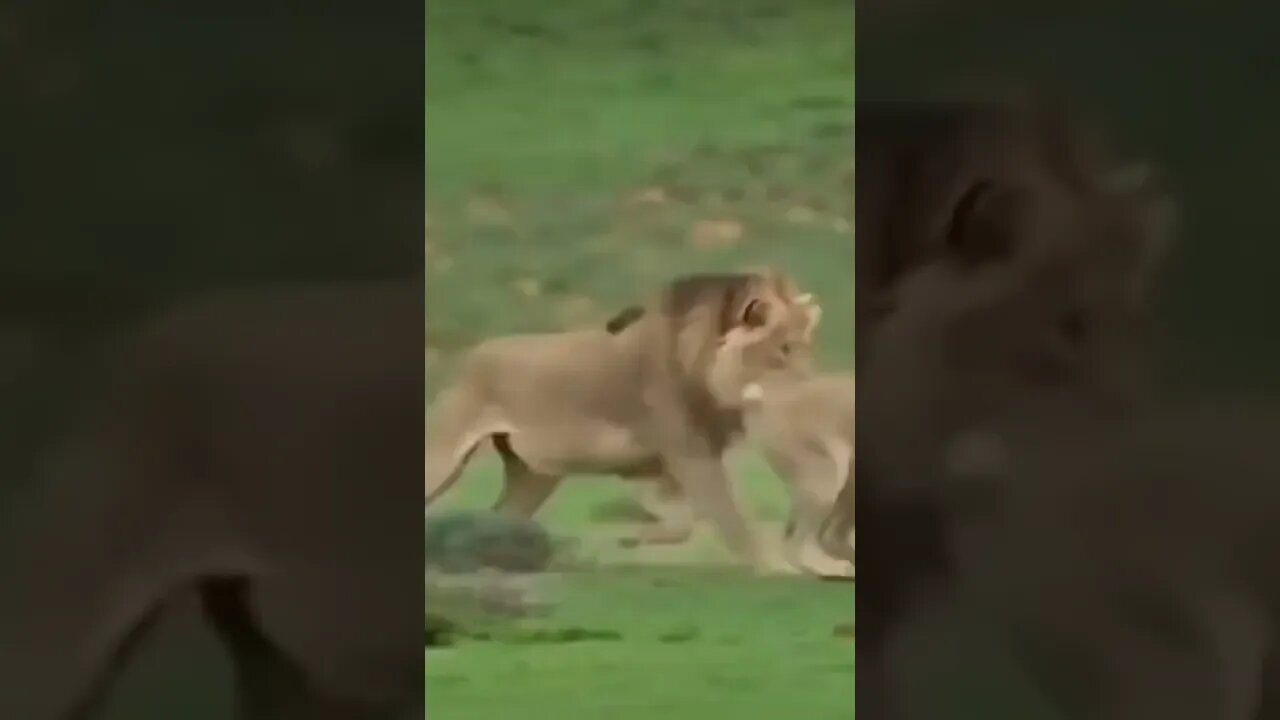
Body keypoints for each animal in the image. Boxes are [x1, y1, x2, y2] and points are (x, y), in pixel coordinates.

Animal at [419, 269, 819, 571]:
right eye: (784, 349)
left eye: (807, 345)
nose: (812, 381)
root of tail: (470, 356)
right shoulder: (691, 455)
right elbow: (735, 519)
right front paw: (777, 569)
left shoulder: (661, 466)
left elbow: (684, 524)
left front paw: (628, 540)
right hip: (443, 456)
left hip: (534, 474)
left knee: (502, 514)